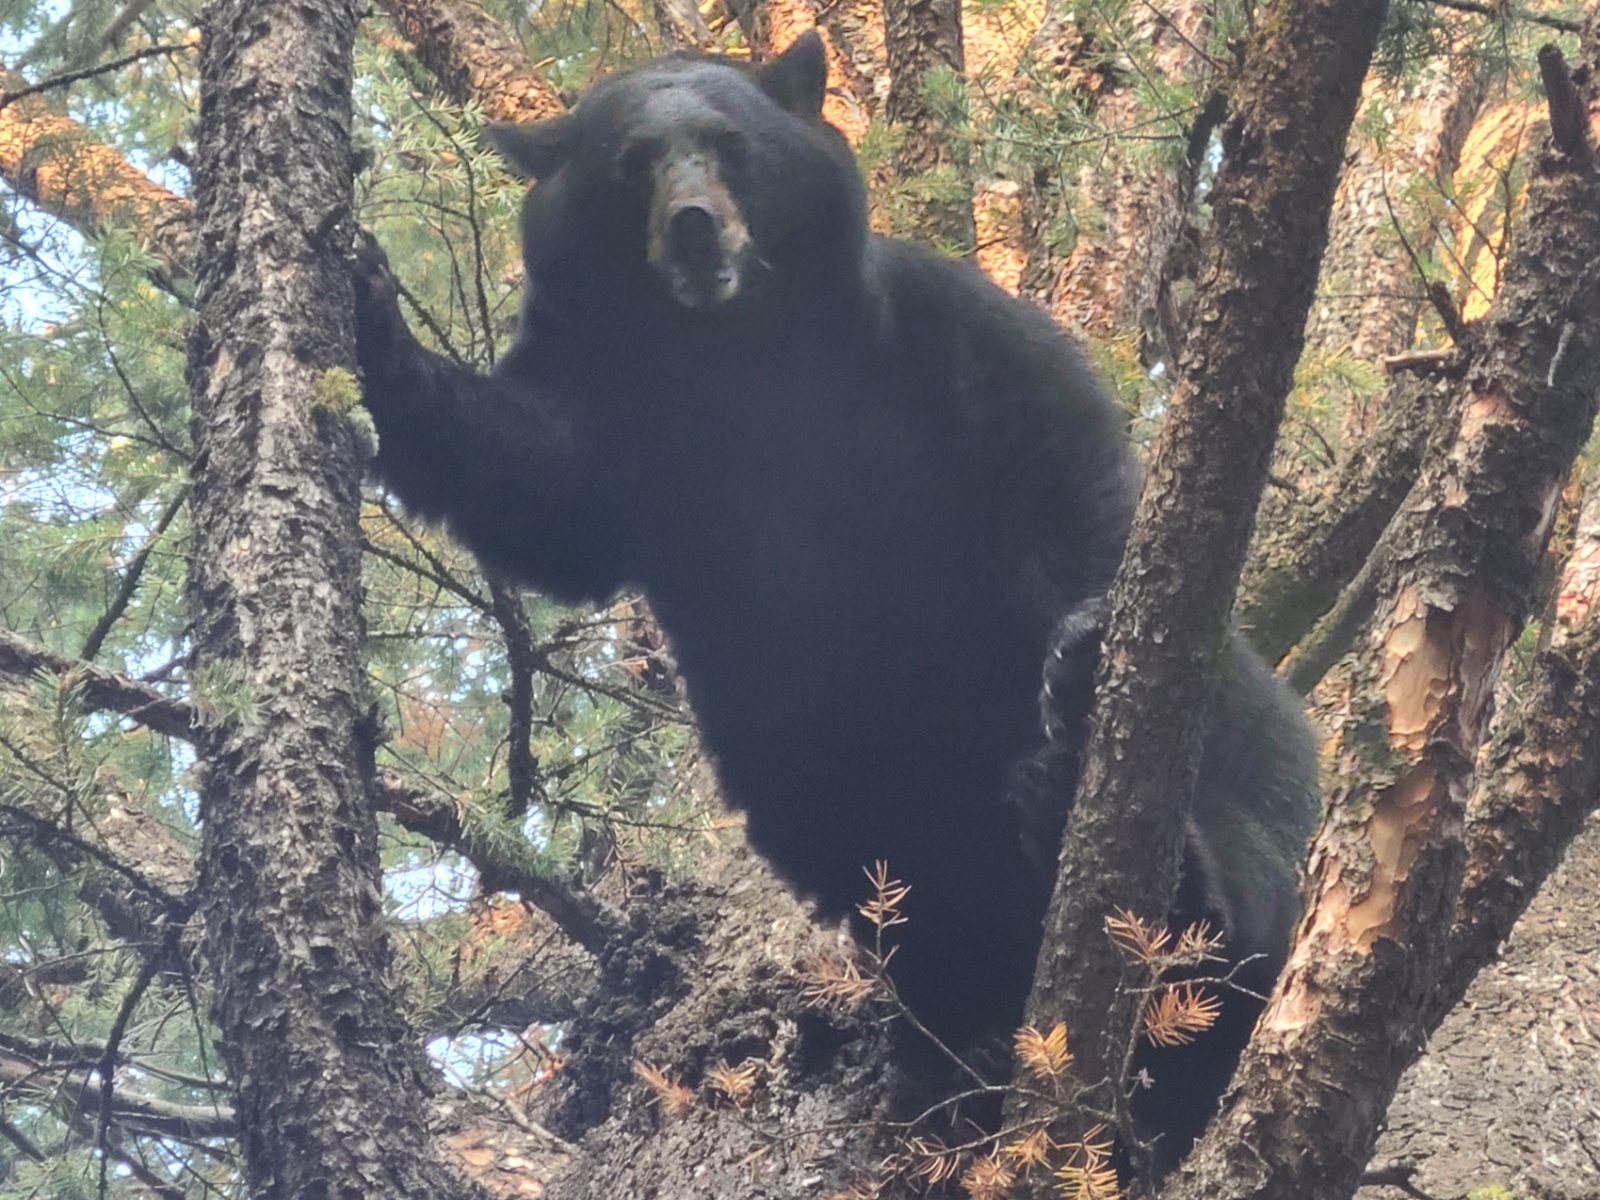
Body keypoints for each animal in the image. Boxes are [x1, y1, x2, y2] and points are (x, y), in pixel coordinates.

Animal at [351, 32, 1320, 1166]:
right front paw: (371, 315)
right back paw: (958, 1030)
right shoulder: (627, 425)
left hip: (1246, 762)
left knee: (1244, 843)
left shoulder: (937, 341)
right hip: (822, 774)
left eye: (730, 142)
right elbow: (539, 490)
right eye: (632, 163)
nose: (693, 225)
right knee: (881, 859)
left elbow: (1070, 473)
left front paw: (1086, 653)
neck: (743, 368)